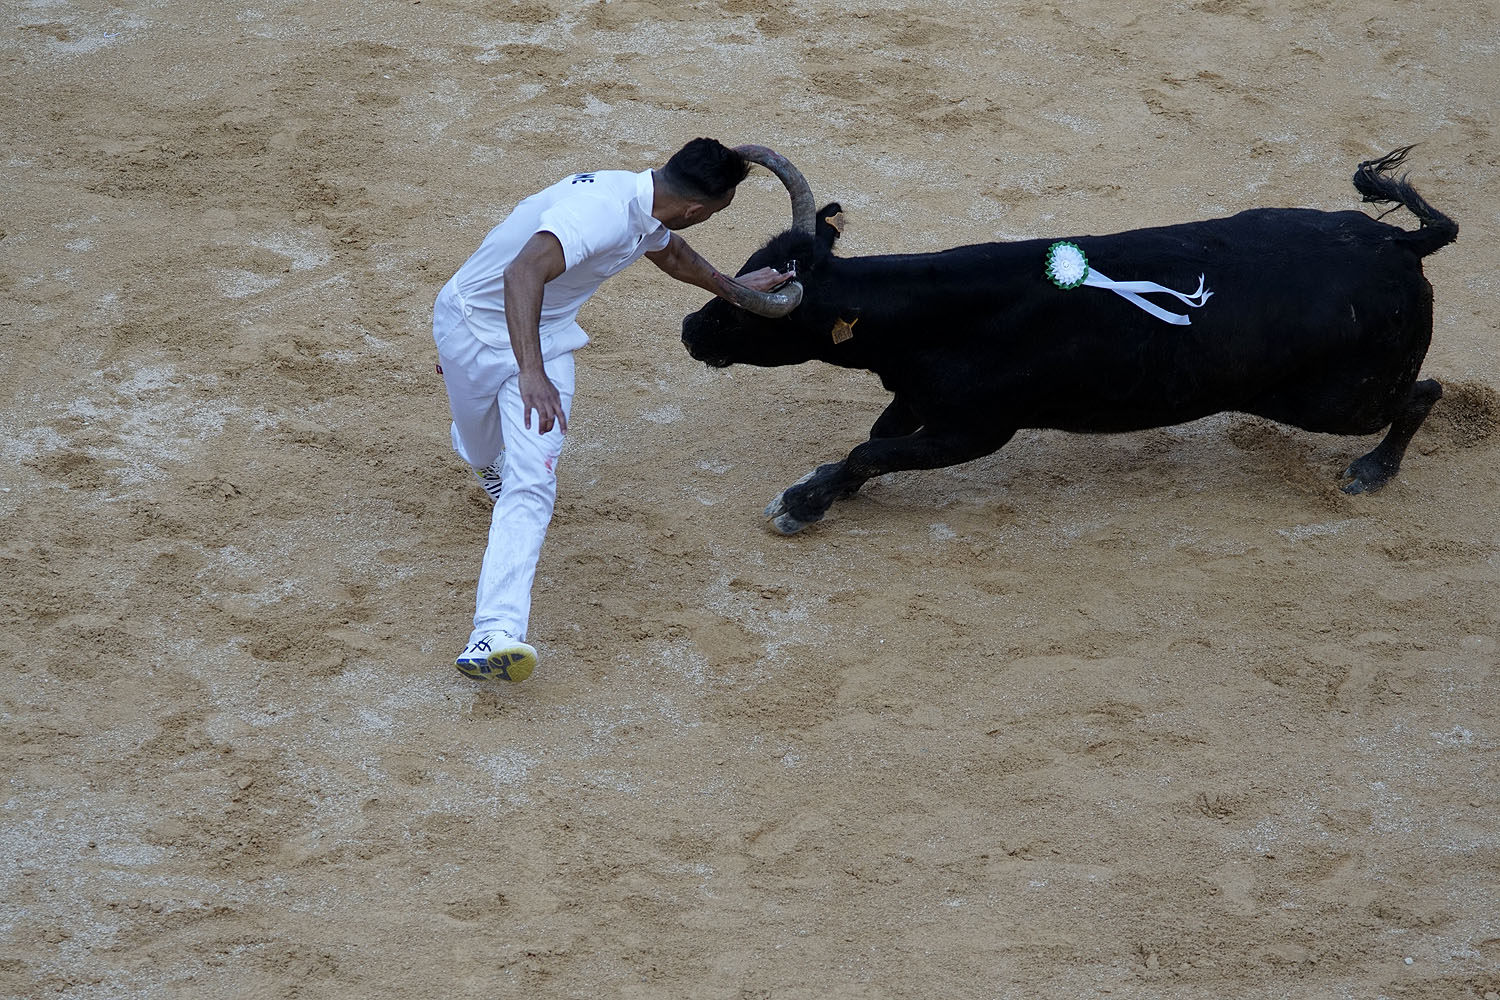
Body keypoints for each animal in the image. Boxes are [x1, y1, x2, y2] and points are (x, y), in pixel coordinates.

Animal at [678, 145, 1452, 536]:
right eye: (748, 261)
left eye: (766, 315)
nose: (690, 329)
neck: (936, 319)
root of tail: (1397, 245)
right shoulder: (919, 398)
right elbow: (871, 443)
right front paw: (824, 488)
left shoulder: (975, 430)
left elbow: (872, 450)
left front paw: (801, 505)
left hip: (1333, 401)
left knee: (1423, 393)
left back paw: (1371, 472)